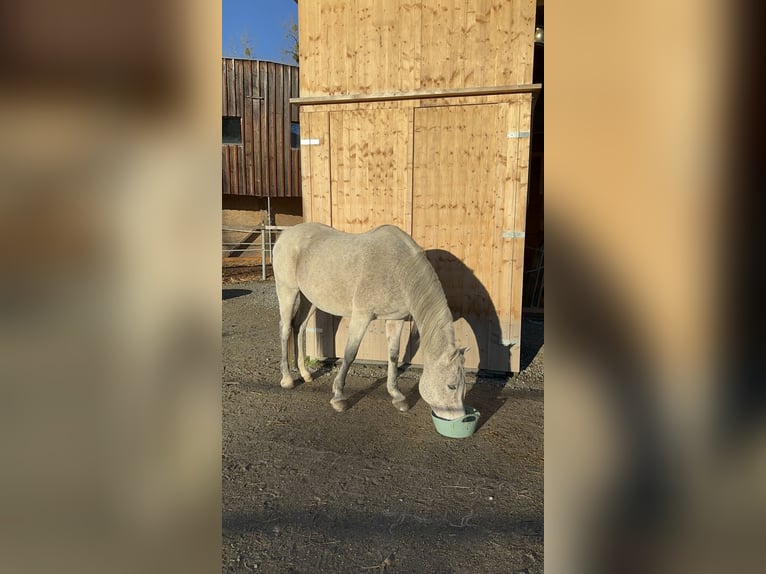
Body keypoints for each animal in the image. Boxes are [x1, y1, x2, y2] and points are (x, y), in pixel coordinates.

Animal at [276, 223, 468, 420]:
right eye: (451, 386)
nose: (460, 419)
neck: (400, 268)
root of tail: (286, 233)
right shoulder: (361, 317)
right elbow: (350, 354)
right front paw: (338, 397)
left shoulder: (396, 319)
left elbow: (393, 355)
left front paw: (397, 396)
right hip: (287, 291)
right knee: (285, 329)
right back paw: (287, 379)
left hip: (310, 299)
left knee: (299, 328)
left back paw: (305, 374)